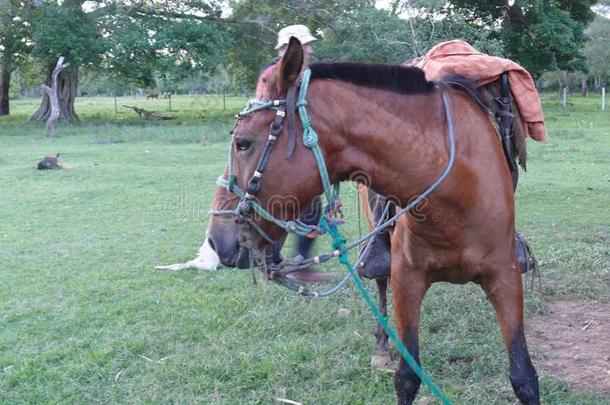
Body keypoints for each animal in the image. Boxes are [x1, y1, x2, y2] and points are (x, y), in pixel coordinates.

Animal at [208, 36, 536, 402]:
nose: (217, 240)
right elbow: (407, 375)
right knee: (380, 283)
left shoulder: (505, 277)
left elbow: (523, 376)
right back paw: (381, 347)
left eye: (242, 142)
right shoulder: (408, 280)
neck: (455, 193)